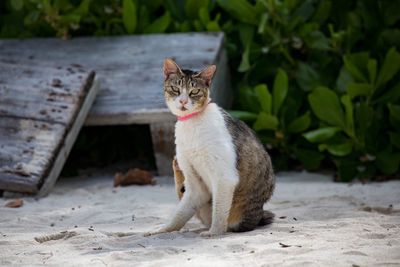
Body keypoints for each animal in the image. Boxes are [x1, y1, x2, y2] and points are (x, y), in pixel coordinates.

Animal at [147, 59, 276, 239]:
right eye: (175, 89)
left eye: (194, 91)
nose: (183, 101)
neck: (191, 123)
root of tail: (259, 214)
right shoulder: (195, 184)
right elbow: (179, 213)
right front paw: (165, 229)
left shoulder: (225, 178)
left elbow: (219, 212)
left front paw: (214, 232)